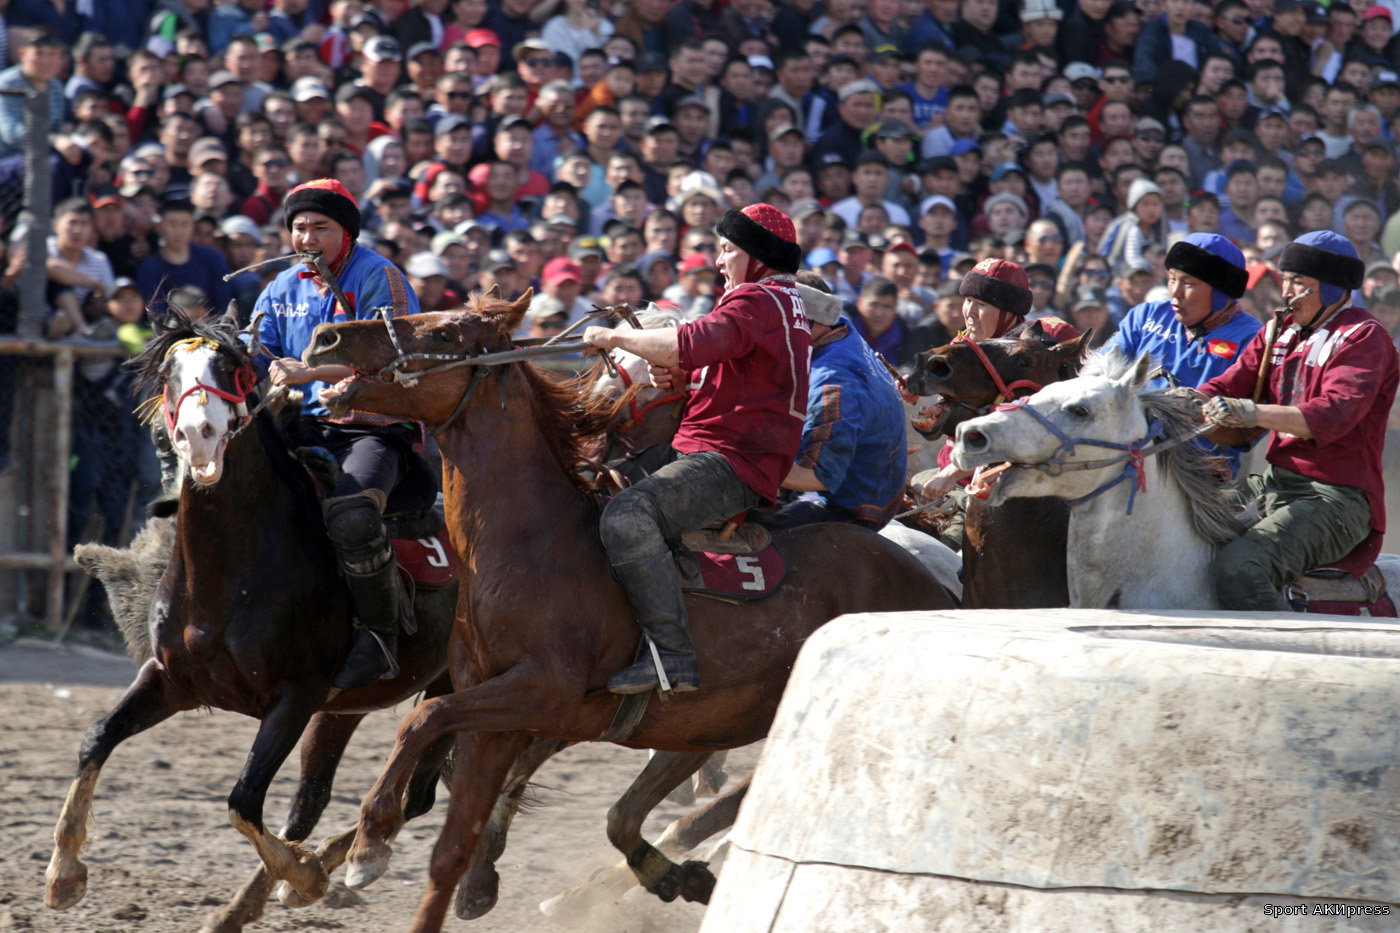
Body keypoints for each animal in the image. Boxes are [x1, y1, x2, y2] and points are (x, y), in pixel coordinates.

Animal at [308, 287, 957, 924]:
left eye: (444, 332)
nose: (327, 336)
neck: (534, 545)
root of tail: (933, 581)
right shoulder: (495, 719)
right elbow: (449, 844)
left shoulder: (542, 692)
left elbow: (421, 720)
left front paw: (369, 844)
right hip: (714, 718)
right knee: (649, 806)